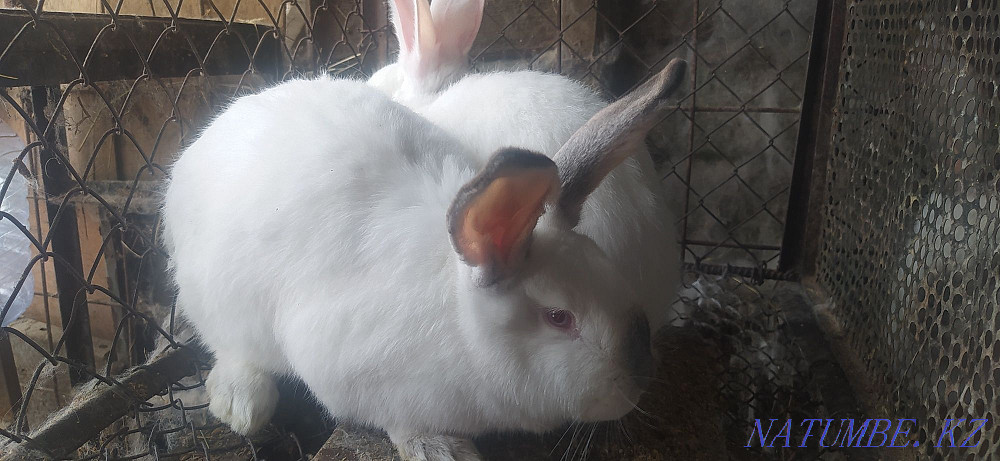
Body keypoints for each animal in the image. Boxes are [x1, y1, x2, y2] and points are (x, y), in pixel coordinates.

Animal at [162, 58, 687, 460]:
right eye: (559, 317)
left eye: (613, 277)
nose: (640, 377)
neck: (462, 326)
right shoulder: (350, 373)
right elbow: (399, 421)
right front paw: (441, 449)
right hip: (221, 304)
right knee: (233, 350)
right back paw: (242, 405)